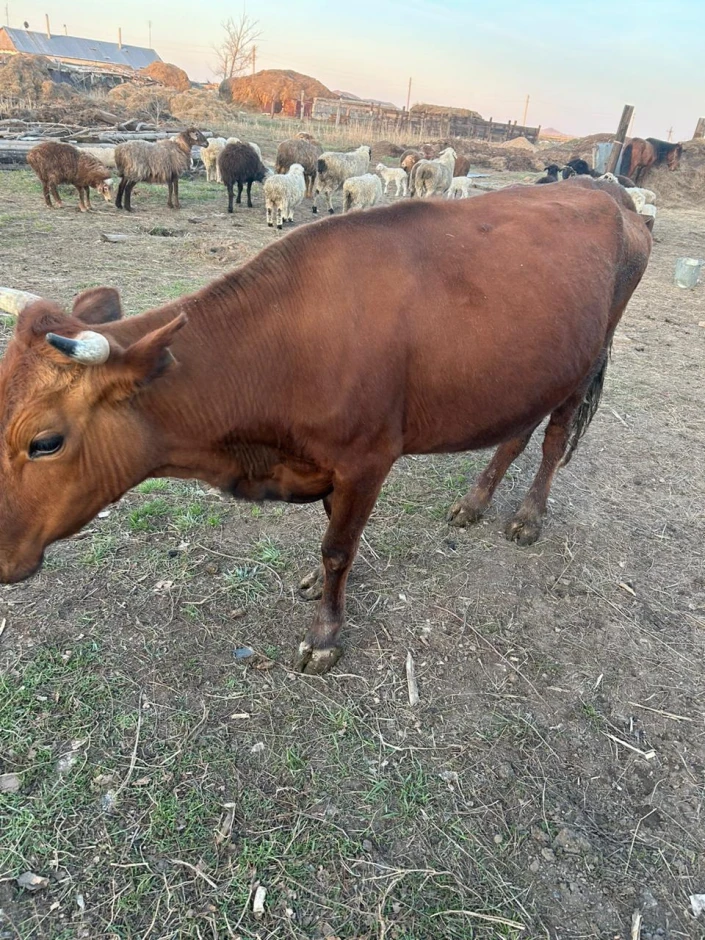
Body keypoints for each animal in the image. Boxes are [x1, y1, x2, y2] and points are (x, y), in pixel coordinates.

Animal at [0, 181, 652, 674]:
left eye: (45, 442)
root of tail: (608, 191)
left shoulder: (368, 459)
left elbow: (339, 547)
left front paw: (325, 635)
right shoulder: (324, 463)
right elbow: (329, 535)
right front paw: (317, 585)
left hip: (587, 359)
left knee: (553, 439)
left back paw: (528, 516)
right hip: (533, 372)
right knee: (517, 431)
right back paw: (474, 502)